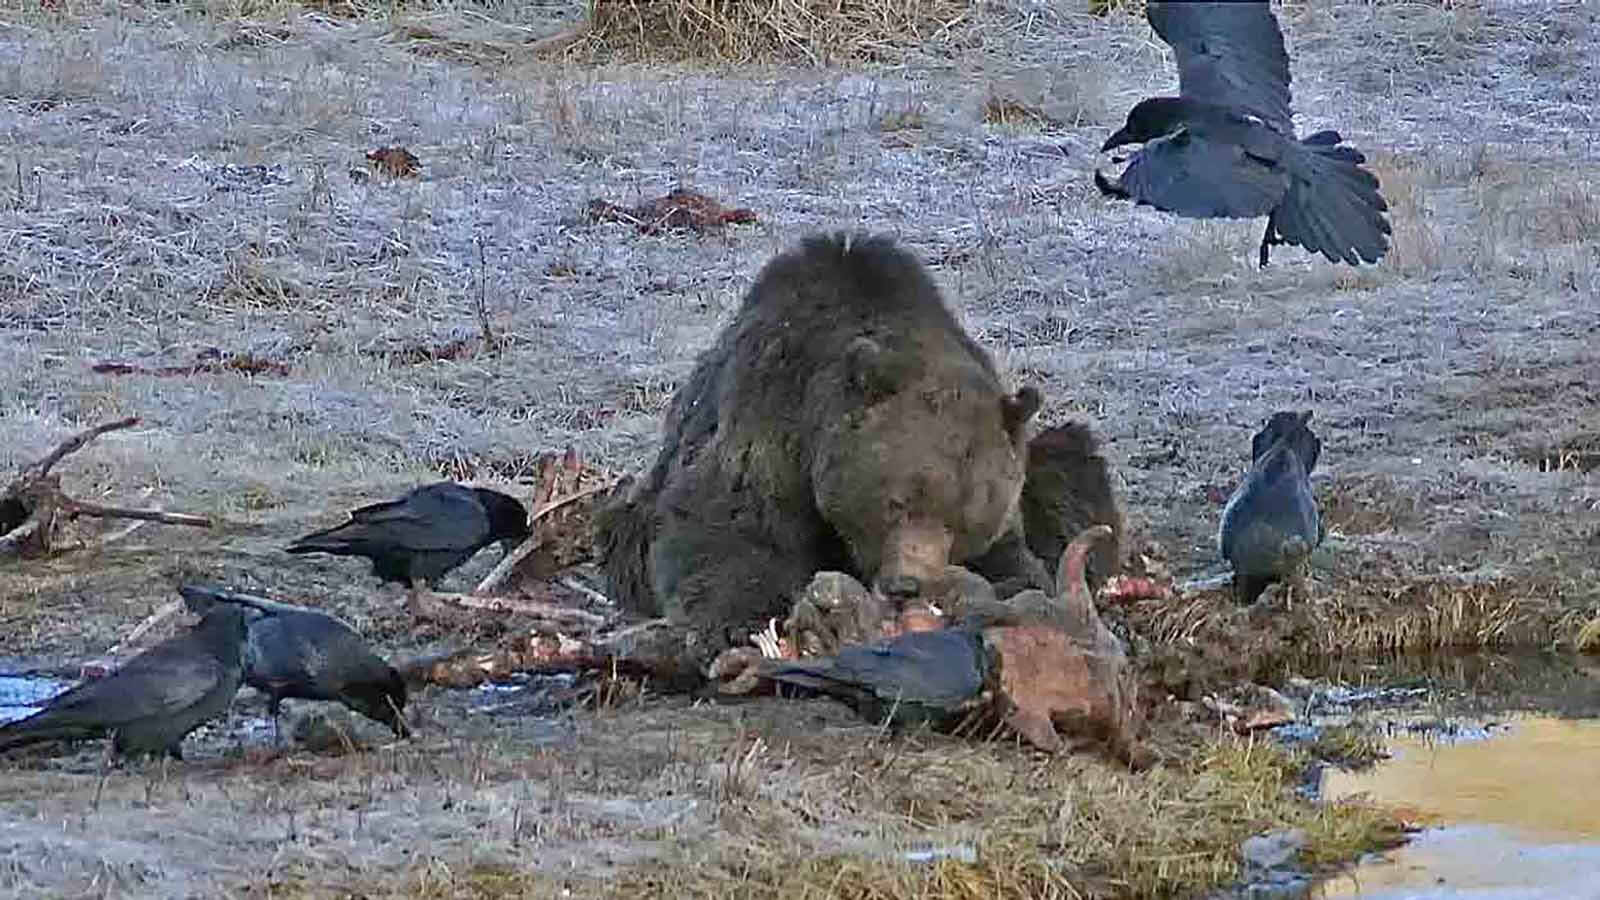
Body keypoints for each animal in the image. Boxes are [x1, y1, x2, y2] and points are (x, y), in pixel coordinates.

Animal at [595, 231, 1053, 677]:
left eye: (963, 522)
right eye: (896, 502)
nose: (907, 585)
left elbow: (1017, 562)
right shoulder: (769, 411)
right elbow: (731, 523)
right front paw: (737, 625)